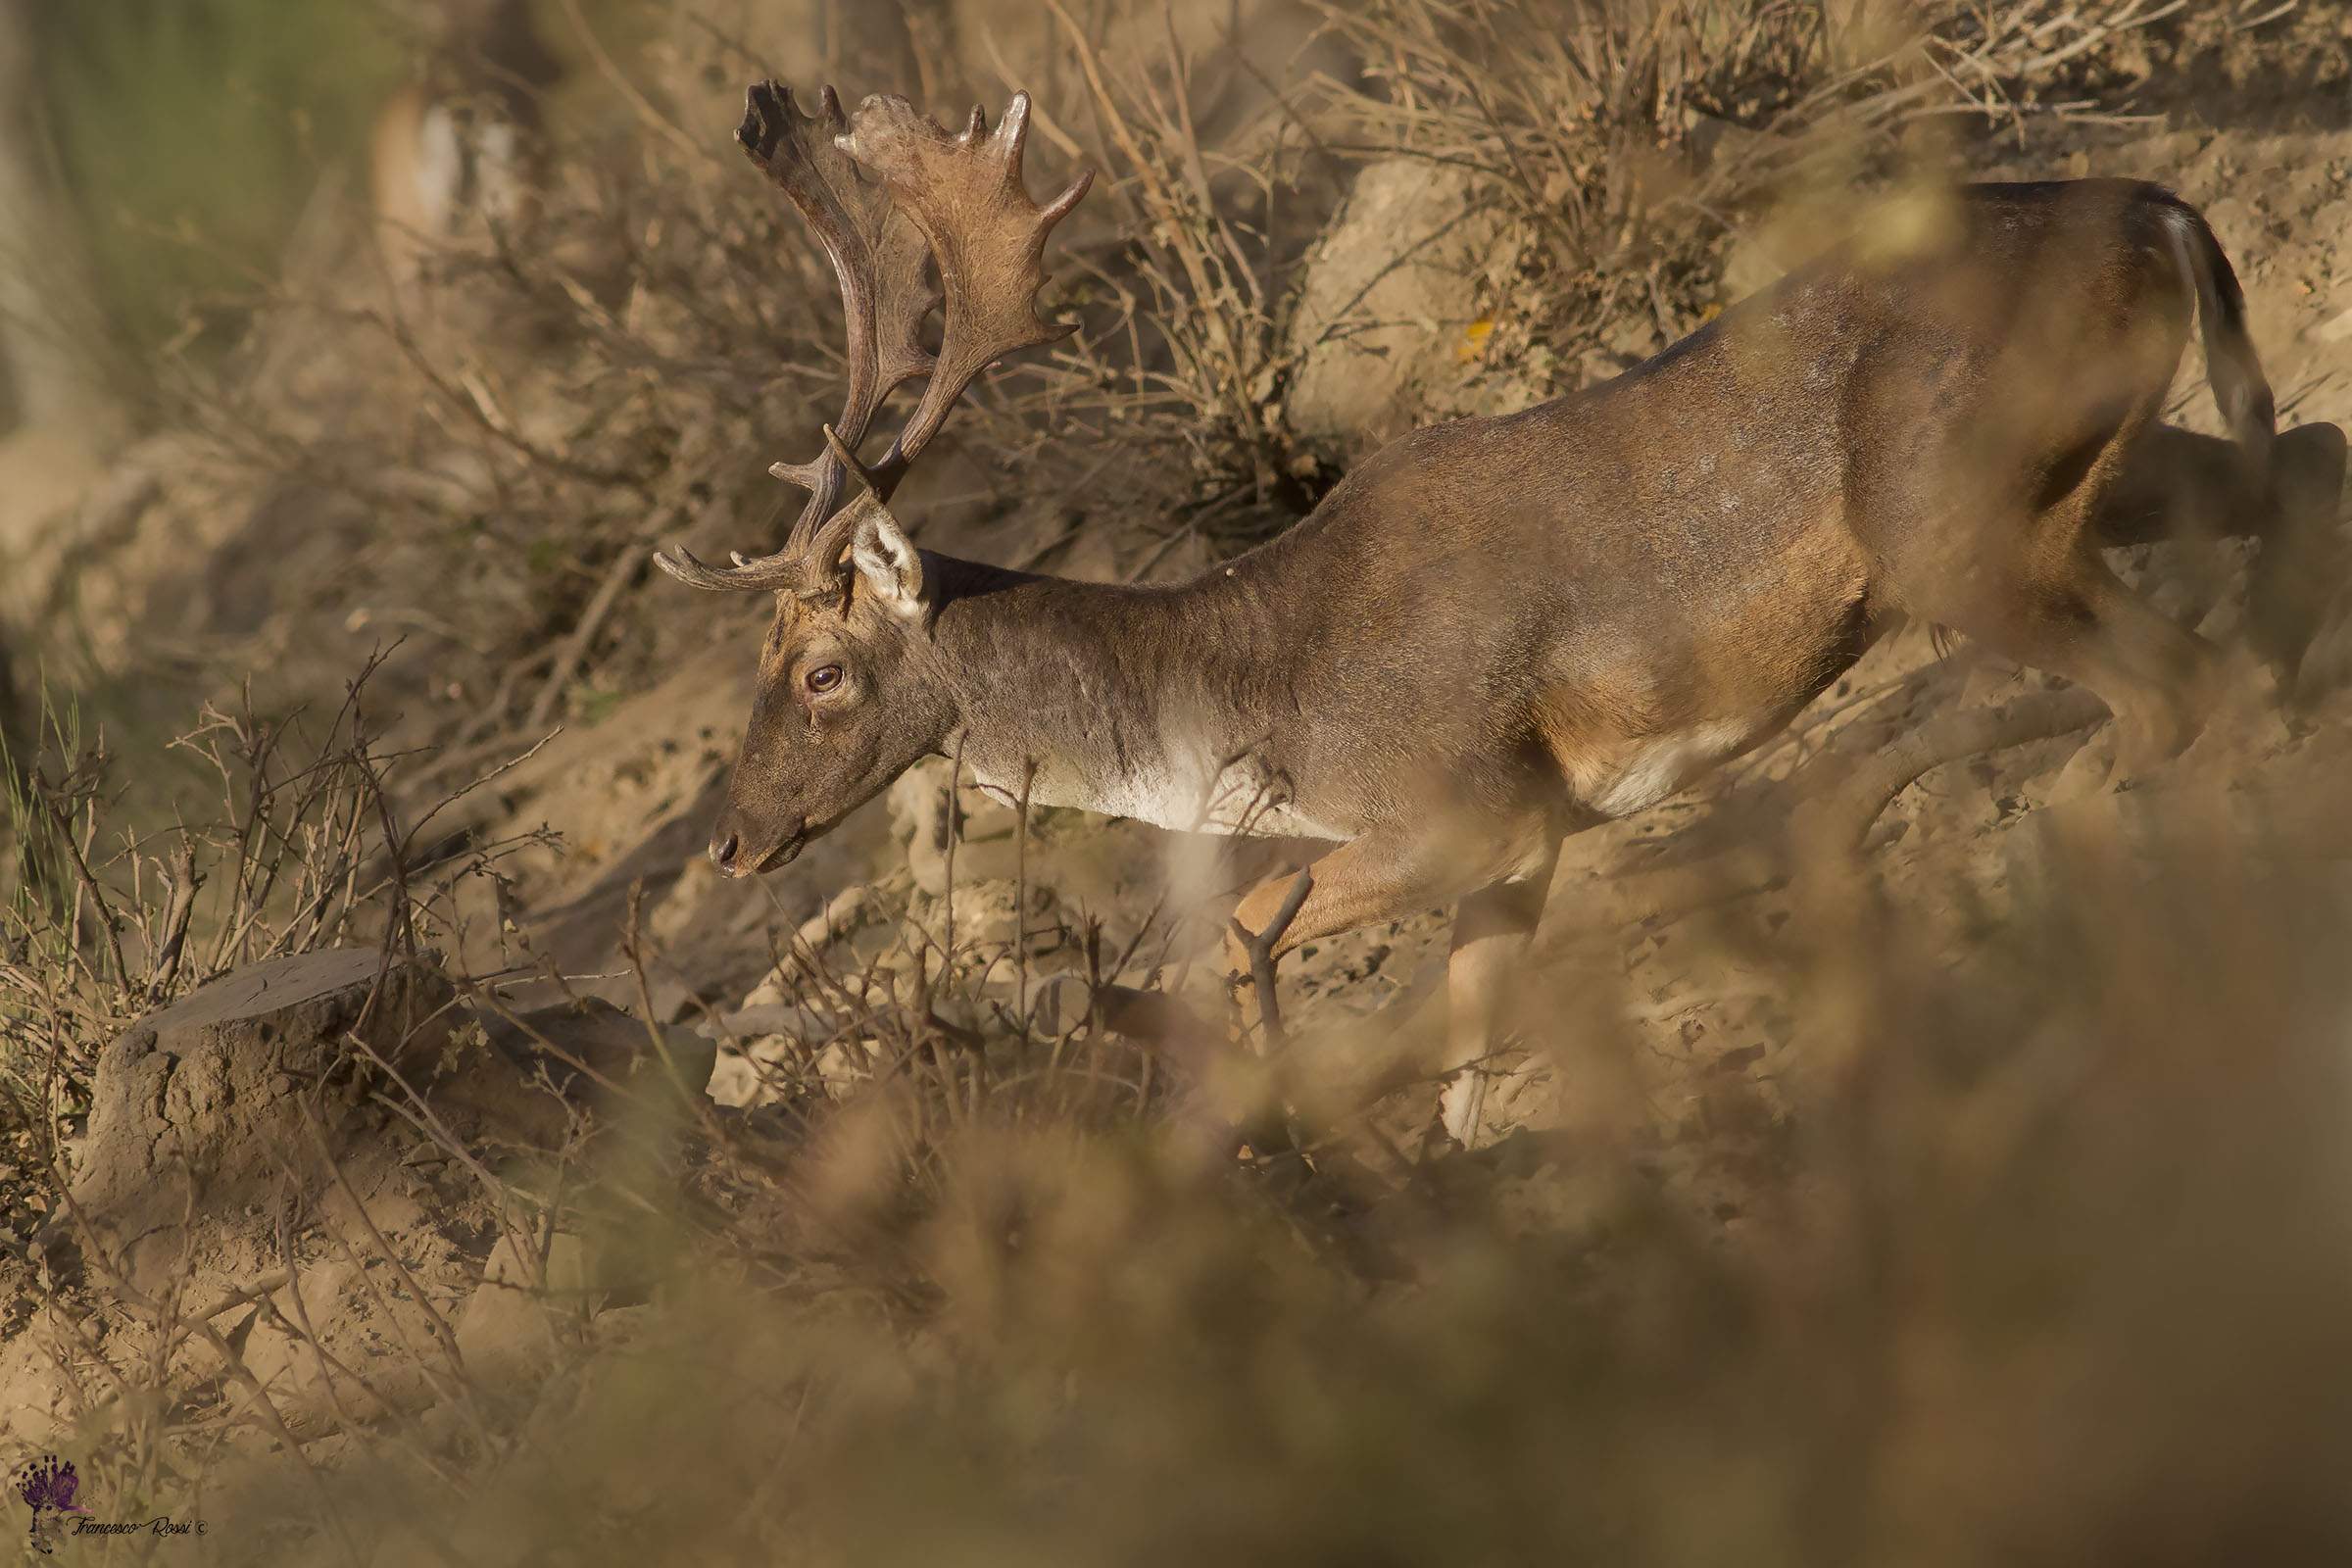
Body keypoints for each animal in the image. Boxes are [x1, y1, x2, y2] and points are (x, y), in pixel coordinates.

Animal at [656, 81, 2345, 1148]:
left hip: (1953, 518)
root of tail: (2162, 206)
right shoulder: (1530, 845)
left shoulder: (1469, 799)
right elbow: (1467, 1053)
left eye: (819, 670)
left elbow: (1248, 932)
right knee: (2308, 461)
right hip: (2093, 469)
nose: (728, 842)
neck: (1257, 700)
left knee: (2171, 684)